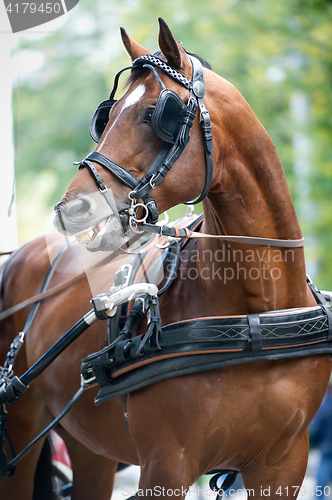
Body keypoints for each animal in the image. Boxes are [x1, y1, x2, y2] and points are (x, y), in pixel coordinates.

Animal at [0, 16, 332, 500]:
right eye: (106, 117)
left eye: (152, 114)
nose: (70, 210)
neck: (256, 309)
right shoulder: (167, 465)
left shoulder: (284, 465)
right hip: (21, 431)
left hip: (91, 448)